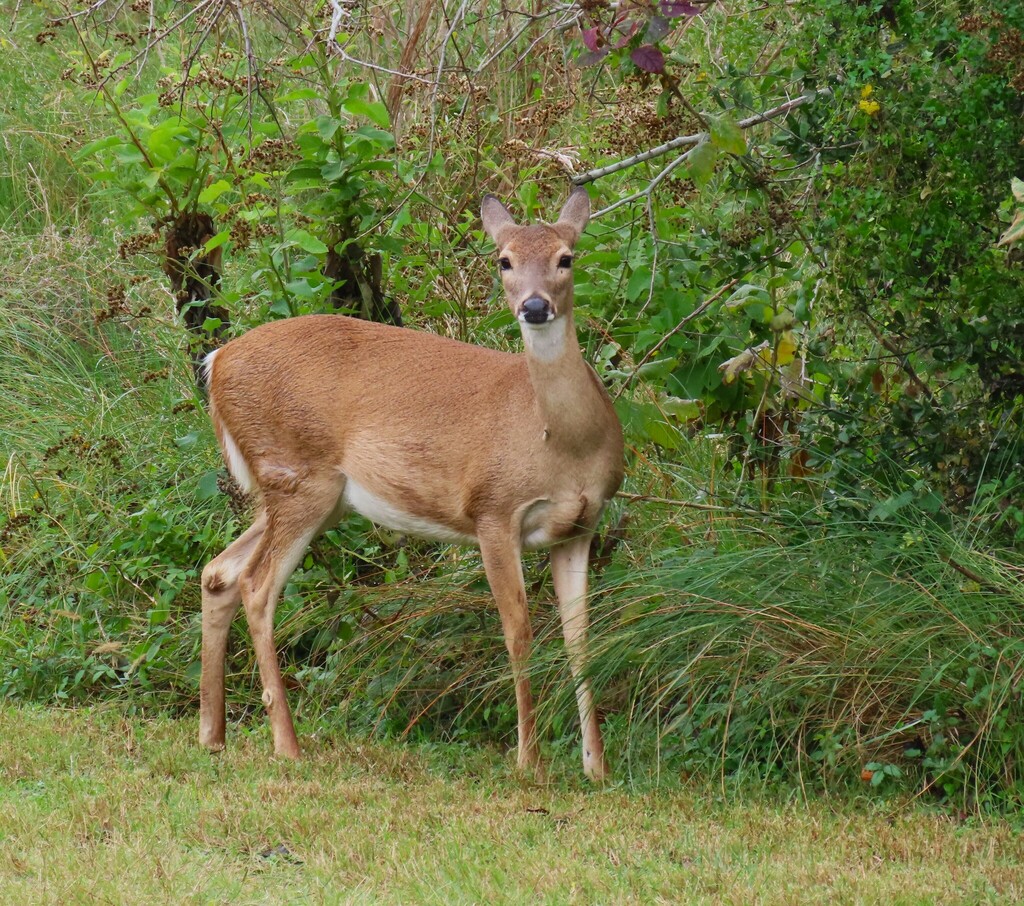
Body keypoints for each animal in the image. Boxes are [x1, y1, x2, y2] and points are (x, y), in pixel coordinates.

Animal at [195, 185, 618, 778]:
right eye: (503, 260)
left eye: (566, 257)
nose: (534, 307)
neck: (560, 442)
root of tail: (216, 362)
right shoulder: (492, 511)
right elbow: (519, 634)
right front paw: (529, 764)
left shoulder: (581, 524)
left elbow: (582, 640)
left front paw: (595, 768)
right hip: (297, 475)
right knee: (257, 585)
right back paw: (287, 744)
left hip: (307, 494)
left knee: (219, 571)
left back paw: (212, 734)